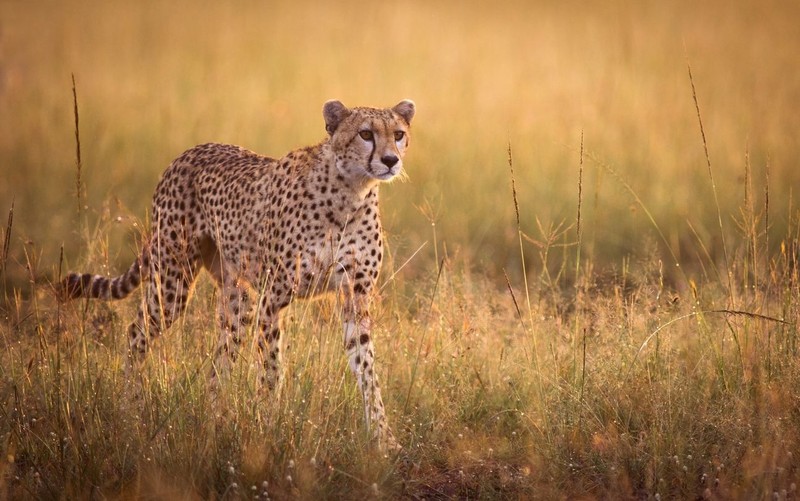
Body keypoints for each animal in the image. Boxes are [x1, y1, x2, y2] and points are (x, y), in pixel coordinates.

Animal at [57, 99, 416, 450]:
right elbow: (271, 370)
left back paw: (216, 420)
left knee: (220, 361)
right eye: (366, 134)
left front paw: (383, 438)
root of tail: (189, 151)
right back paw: (130, 407)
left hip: (237, 302)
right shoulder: (273, 298)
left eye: (398, 134)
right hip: (172, 282)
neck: (350, 192)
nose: (390, 160)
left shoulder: (355, 296)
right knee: (136, 332)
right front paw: (270, 429)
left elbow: (367, 368)